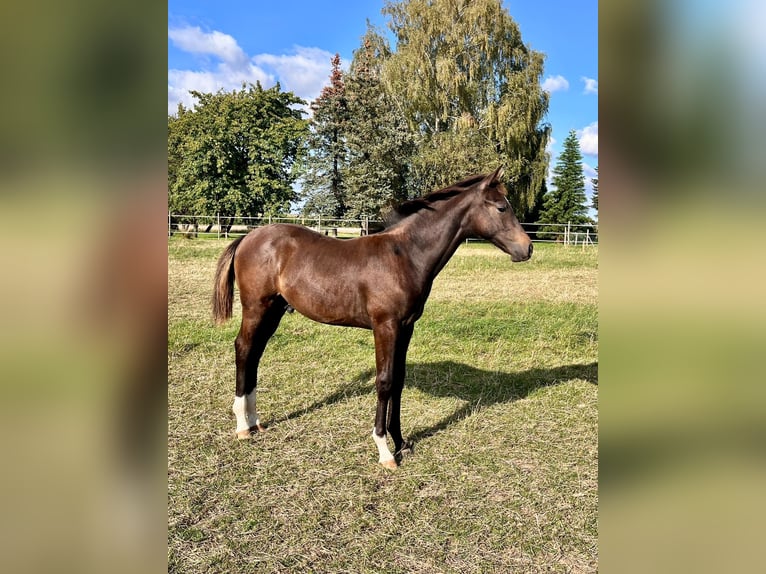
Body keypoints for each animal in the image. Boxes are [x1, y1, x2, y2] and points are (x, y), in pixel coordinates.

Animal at [210, 165, 536, 468]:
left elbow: (399, 381)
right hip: (257, 307)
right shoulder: (385, 327)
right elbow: (385, 381)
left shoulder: (406, 327)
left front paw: (401, 442)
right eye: (501, 207)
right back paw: (242, 426)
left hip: (274, 310)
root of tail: (248, 237)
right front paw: (384, 450)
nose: (528, 248)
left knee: (255, 353)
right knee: (244, 348)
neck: (405, 255)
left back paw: (255, 421)